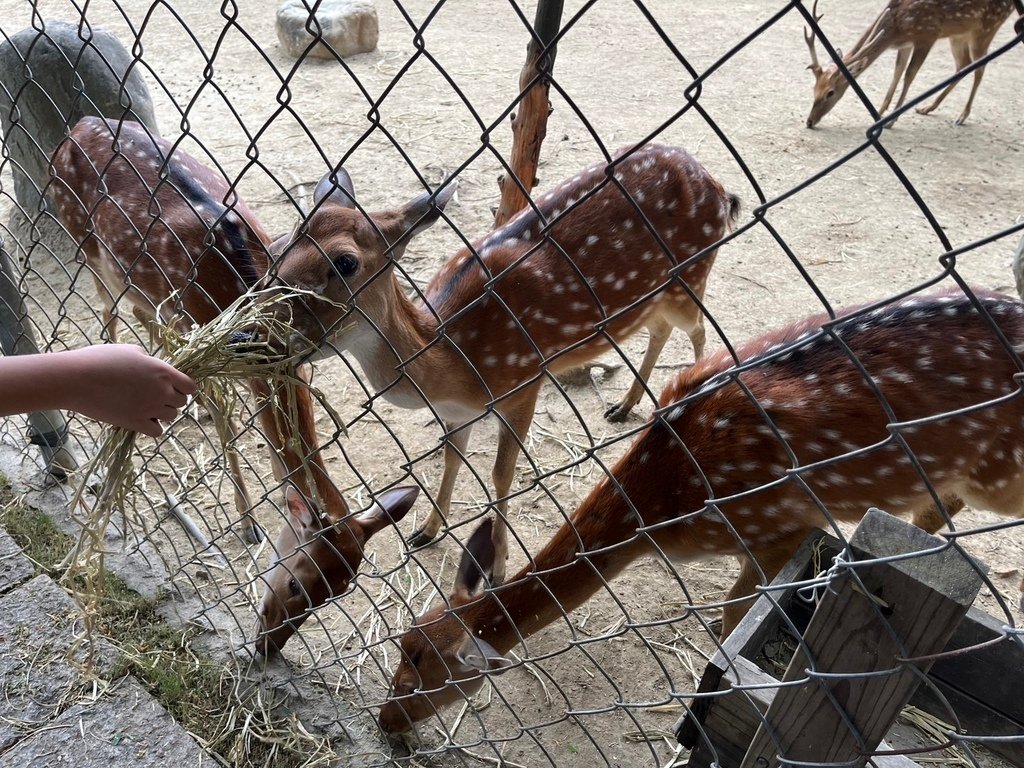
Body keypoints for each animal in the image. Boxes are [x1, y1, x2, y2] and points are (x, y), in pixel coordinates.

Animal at [49, 115, 417, 655]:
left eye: (337, 592)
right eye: (298, 581)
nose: (268, 646)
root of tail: (78, 124)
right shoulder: (214, 337)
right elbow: (226, 417)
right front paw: (246, 524)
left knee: (142, 315)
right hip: (86, 244)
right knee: (109, 313)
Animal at [254, 144, 737, 593]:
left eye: (345, 262)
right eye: (278, 246)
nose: (251, 332)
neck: (455, 365)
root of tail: (717, 185)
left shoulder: (525, 382)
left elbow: (502, 474)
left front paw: (499, 567)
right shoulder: (457, 411)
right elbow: (453, 456)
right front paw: (426, 529)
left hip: (691, 274)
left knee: (700, 329)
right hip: (658, 296)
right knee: (660, 328)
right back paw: (624, 405)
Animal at [380, 286, 1024, 733]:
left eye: (422, 681)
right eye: (400, 649)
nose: (386, 724)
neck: (665, 505)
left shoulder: (780, 525)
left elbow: (735, 618)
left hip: (1004, 471)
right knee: (941, 503)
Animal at [806, 0, 1015, 128]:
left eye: (830, 93)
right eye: (814, 89)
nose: (809, 121)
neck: (898, 26)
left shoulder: (927, 35)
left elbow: (909, 75)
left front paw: (891, 121)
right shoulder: (905, 44)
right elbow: (897, 72)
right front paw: (879, 112)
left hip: (986, 28)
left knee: (980, 67)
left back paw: (962, 115)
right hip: (960, 34)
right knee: (964, 64)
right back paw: (928, 107)